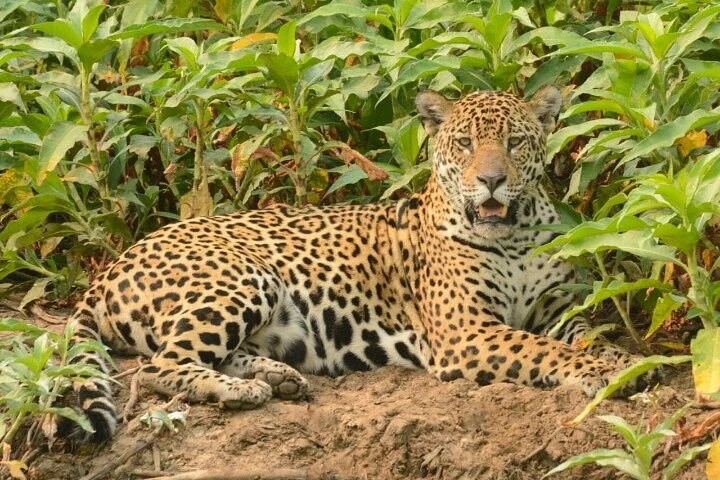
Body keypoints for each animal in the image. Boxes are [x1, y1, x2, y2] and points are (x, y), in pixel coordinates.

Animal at [60, 85, 655, 443]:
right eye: (464, 144)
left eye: (514, 142)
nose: (491, 180)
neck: (511, 235)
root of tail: (110, 267)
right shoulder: (465, 330)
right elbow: (541, 349)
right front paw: (600, 374)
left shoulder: (555, 308)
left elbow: (585, 332)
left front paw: (618, 359)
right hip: (243, 278)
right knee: (161, 366)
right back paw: (244, 391)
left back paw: (278, 377)